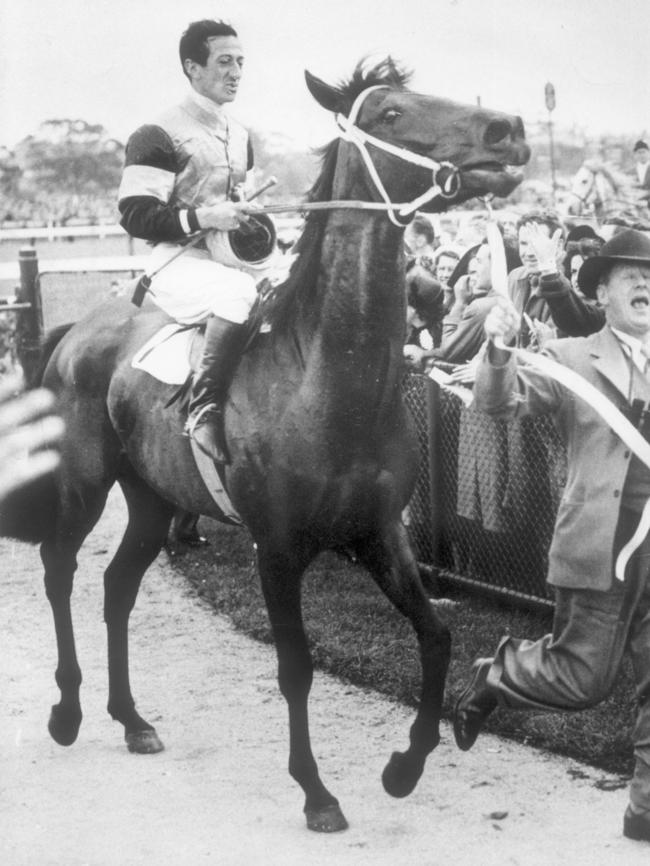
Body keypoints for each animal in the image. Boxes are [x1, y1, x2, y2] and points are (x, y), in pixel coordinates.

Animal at [5, 57, 528, 828]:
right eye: (390, 114)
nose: (509, 129)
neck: (325, 379)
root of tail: (78, 329)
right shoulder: (275, 548)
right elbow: (296, 668)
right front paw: (316, 792)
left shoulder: (378, 531)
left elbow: (436, 636)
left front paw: (403, 767)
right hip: (84, 487)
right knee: (58, 569)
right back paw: (67, 712)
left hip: (152, 499)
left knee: (117, 586)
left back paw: (131, 719)